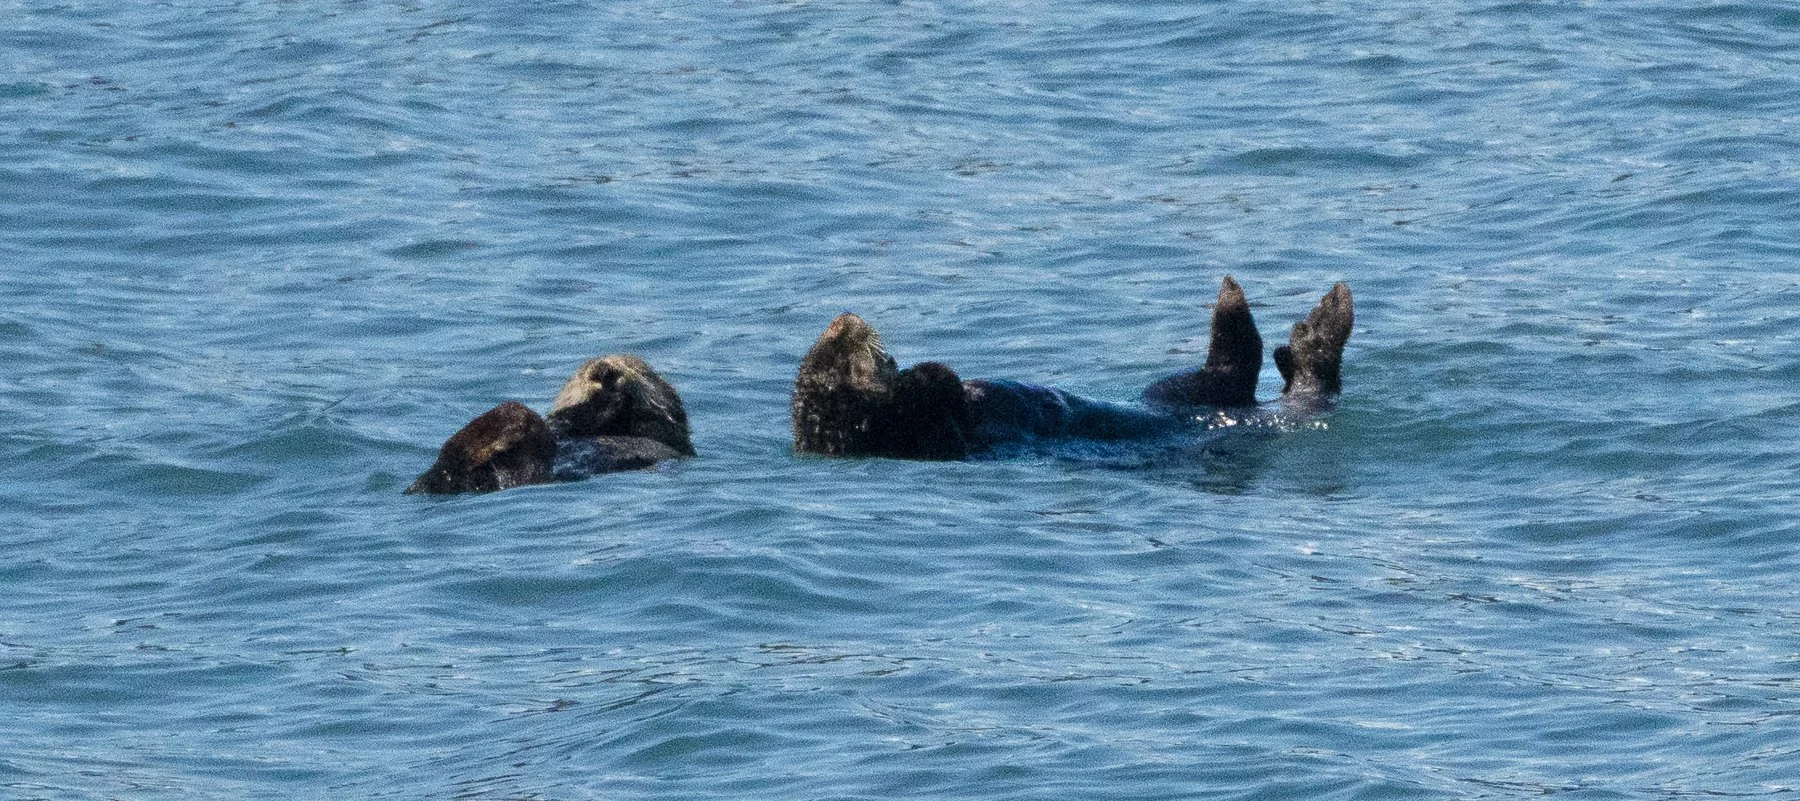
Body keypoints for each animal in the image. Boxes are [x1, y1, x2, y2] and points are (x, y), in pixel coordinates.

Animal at [407, 354, 693, 495]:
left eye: (637, 368)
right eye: (581, 372)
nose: (603, 370)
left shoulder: (667, 434)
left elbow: (653, 422)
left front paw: (617, 401)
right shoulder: (565, 425)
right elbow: (563, 421)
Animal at [791, 277, 1353, 460]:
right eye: (845, 355)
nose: (845, 320)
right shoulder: (925, 427)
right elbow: (938, 391)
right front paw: (933, 373)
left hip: (1173, 393)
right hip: (1193, 397)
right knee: (1249, 370)